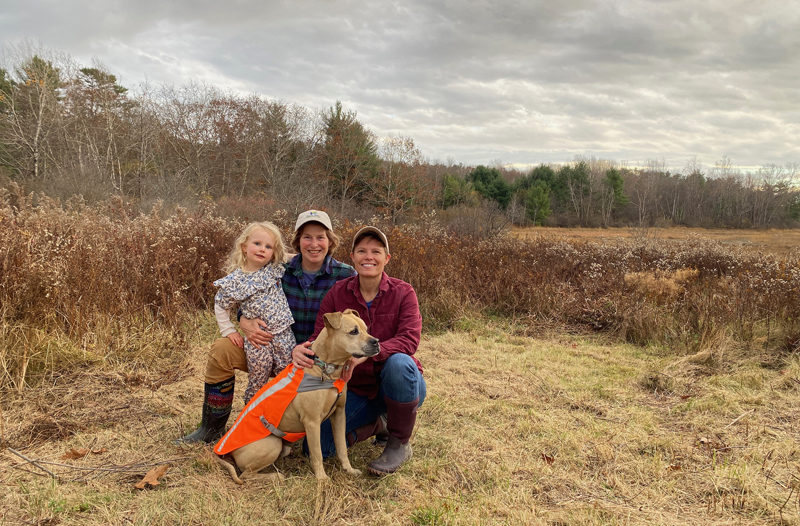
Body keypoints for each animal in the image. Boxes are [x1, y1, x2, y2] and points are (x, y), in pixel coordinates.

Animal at [216, 310, 378, 486]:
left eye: (366, 329)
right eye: (354, 331)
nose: (377, 342)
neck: (325, 368)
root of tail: (226, 452)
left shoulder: (340, 414)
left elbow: (341, 446)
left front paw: (349, 470)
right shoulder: (312, 422)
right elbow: (317, 453)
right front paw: (322, 479)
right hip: (272, 443)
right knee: (246, 475)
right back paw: (276, 476)